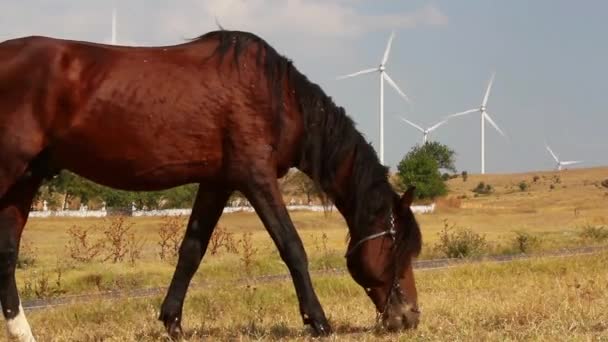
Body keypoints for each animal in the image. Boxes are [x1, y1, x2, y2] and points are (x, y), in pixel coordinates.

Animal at [0, 30, 420, 342]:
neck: (275, 95)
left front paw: (172, 321)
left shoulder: (217, 182)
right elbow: (292, 247)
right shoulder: (255, 176)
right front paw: (318, 320)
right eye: (398, 248)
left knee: (7, 252)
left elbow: (192, 250)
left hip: (25, 180)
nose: (409, 317)